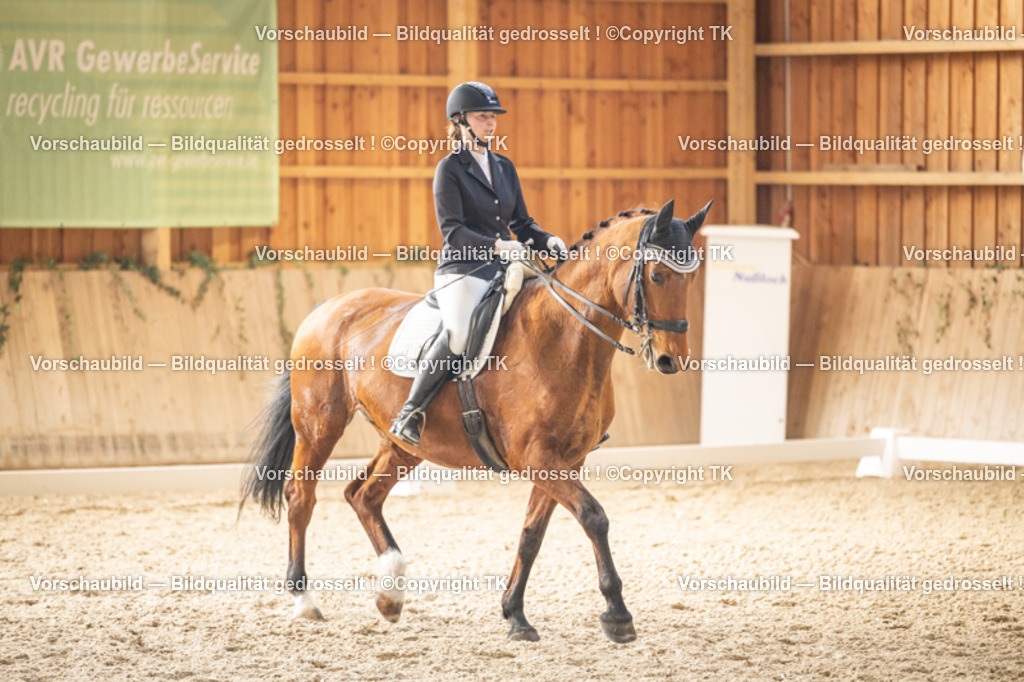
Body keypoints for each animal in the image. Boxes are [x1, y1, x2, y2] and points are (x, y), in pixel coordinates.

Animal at [240, 198, 712, 643]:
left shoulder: (565, 460)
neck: (563, 337)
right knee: (301, 496)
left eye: (691, 278)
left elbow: (532, 534)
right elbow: (593, 516)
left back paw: (391, 595)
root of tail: (327, 307)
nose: (670, 360)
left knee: (363, 495)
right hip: (319, 424)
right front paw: (617, 615)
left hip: (405, 444)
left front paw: (515, 615)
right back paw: (305, 601)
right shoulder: (536, 458)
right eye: (657, 276)